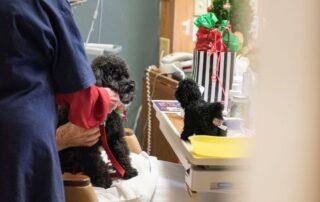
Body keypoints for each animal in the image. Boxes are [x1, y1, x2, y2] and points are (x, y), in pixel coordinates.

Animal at [57, 54, 138, 189]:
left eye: (126, 75)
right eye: (114, 77)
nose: (131, 85)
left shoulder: (114, 137)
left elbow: (121, 153)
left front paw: (128, 171)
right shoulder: (87, 145)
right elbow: (95, 162)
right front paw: (103, 180)